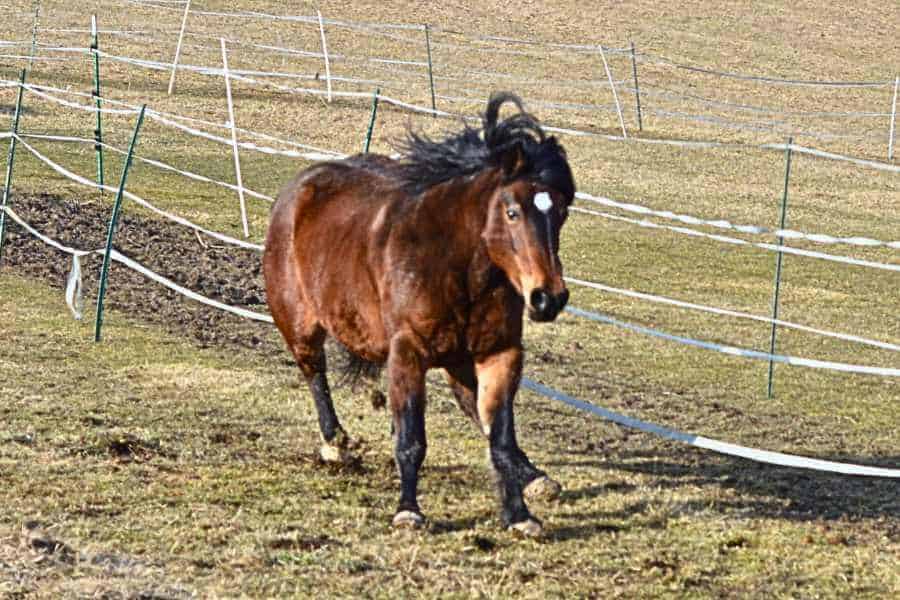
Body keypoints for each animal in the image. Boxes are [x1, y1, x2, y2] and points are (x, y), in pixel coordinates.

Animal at [262, 94, 576, 540]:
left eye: (561, 211)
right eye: (513, 211)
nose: (548, 298)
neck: (457, 266)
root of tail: (298, 188)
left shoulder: (499, 354)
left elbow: (498, 434)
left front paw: (519, 515)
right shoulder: (408, 352)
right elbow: (412, 439)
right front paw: (408, 511)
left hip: (458, 359)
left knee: (473, 408)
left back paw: (535, 477)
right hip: (300, 326)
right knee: (315, 374)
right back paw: (336, 443)